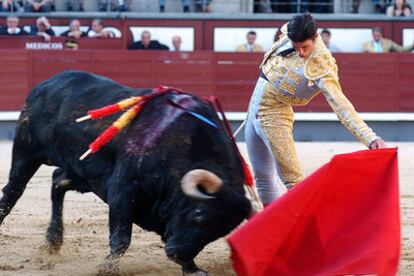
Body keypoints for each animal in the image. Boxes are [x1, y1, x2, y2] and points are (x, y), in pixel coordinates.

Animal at [0, 69, 252, 274]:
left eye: (217, 232)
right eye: (199, 213)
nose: (175, 252)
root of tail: (47, 83)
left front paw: (191, 268)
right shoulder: (122, 190)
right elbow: (121, 237)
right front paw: (106, 268)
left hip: (83, 172)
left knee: (57, 181)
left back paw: (54, 240)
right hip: (27, 150)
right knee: (13, 190)